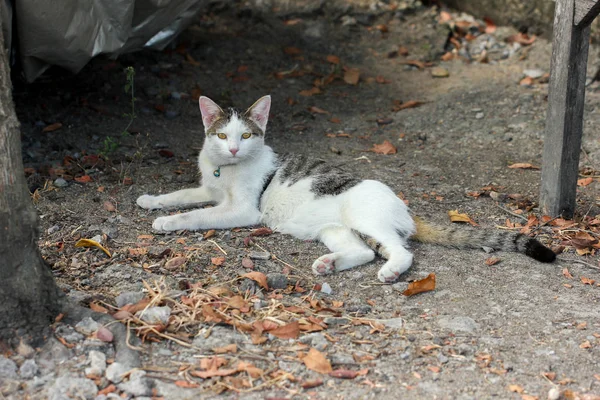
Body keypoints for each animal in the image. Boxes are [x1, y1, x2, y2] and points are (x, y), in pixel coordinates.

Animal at [136, 95, 552, 282]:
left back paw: (391, 272)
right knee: (364, 252)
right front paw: (151, 200)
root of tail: (405, 207)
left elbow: (197, 214)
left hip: (365, 218)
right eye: (222, 136)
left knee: (401, 251)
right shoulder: (211, 190)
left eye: (247, 135)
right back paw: (329, 263)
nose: (234, 148)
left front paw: (169, 223)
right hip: (335, 229)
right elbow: (183, 196)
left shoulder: (241, 210)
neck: (228, 171)